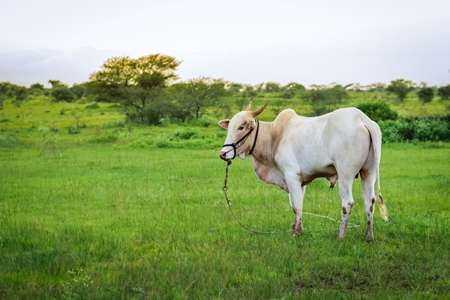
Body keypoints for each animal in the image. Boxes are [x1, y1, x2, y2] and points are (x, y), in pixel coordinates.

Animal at [218, 102, 386, 240]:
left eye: (241, 127)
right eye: (230, 127)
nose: (223, 154)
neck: (275, 136)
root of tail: (362, 118)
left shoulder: (291, 175)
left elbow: (297, 204)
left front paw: (297, 232)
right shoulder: (301, 180)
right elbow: (297, 204)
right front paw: (295, 227)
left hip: (346, 174)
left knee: (348, 203)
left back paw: (340, 236)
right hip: (368, 172)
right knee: (369, 201)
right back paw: (368, 236)